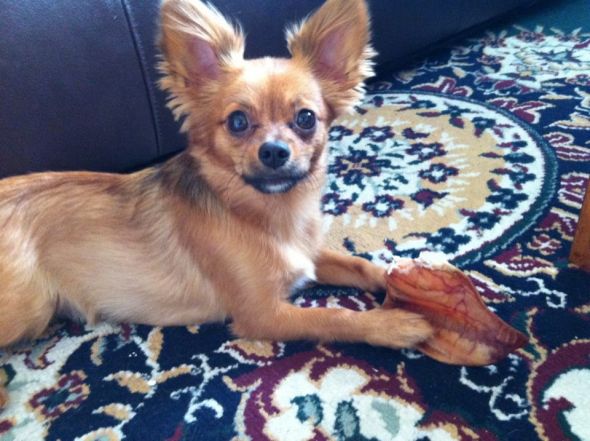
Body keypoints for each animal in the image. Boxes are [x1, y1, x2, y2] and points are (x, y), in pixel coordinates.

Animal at [1, 0, 434, 406]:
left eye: (306, 119)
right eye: (238, 122)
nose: (273, 151)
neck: (266, 215)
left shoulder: (309, 255)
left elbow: (359, 264)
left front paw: (406, 277)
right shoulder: (263, 315)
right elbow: (335, 316)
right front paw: (393, 325)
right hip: (29, 308)